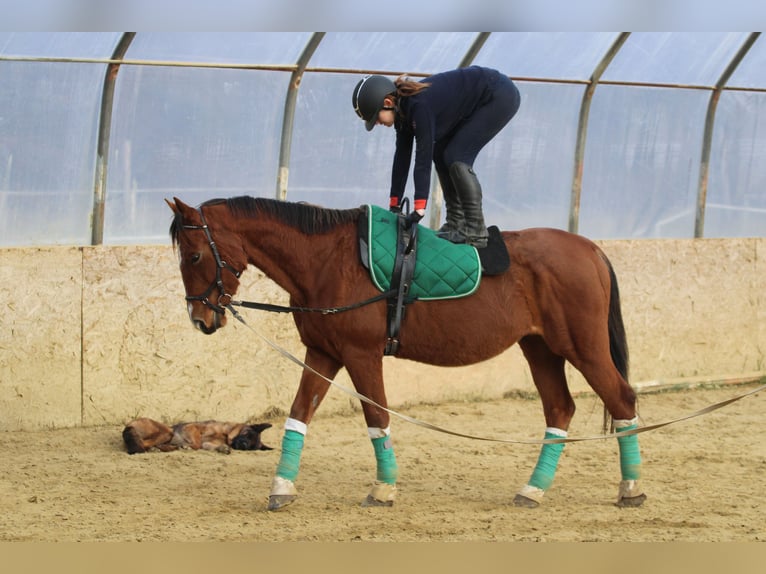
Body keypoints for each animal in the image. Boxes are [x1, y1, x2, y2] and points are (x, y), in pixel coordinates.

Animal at [168, 198, 648, 512]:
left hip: (581, 348)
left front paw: (383, 490)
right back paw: (532, 490)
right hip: (540, 349)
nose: (200, 319)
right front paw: (282, 488)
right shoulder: (322, 354)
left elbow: (377, 418)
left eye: (194, 256)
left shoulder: (360, 355)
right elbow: (298, 416)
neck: (329, 260)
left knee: (621, 399)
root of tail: (590, 249)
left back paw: (630, 489)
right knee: (560, 409)